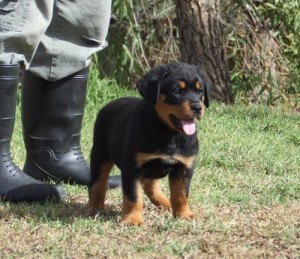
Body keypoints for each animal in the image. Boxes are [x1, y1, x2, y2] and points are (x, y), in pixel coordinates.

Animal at [88, 62, 207, 225]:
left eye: (199, 91)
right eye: (177, 91)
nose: (198, 107)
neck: (169, 134)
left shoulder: (184, 167)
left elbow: (181, 193)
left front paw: (184, 214)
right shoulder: (132, 167)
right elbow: (133, 196)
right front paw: (132, 219)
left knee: (151, 186)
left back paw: (166, 203)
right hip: (100, 154)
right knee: (98, 184)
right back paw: (94, 208)